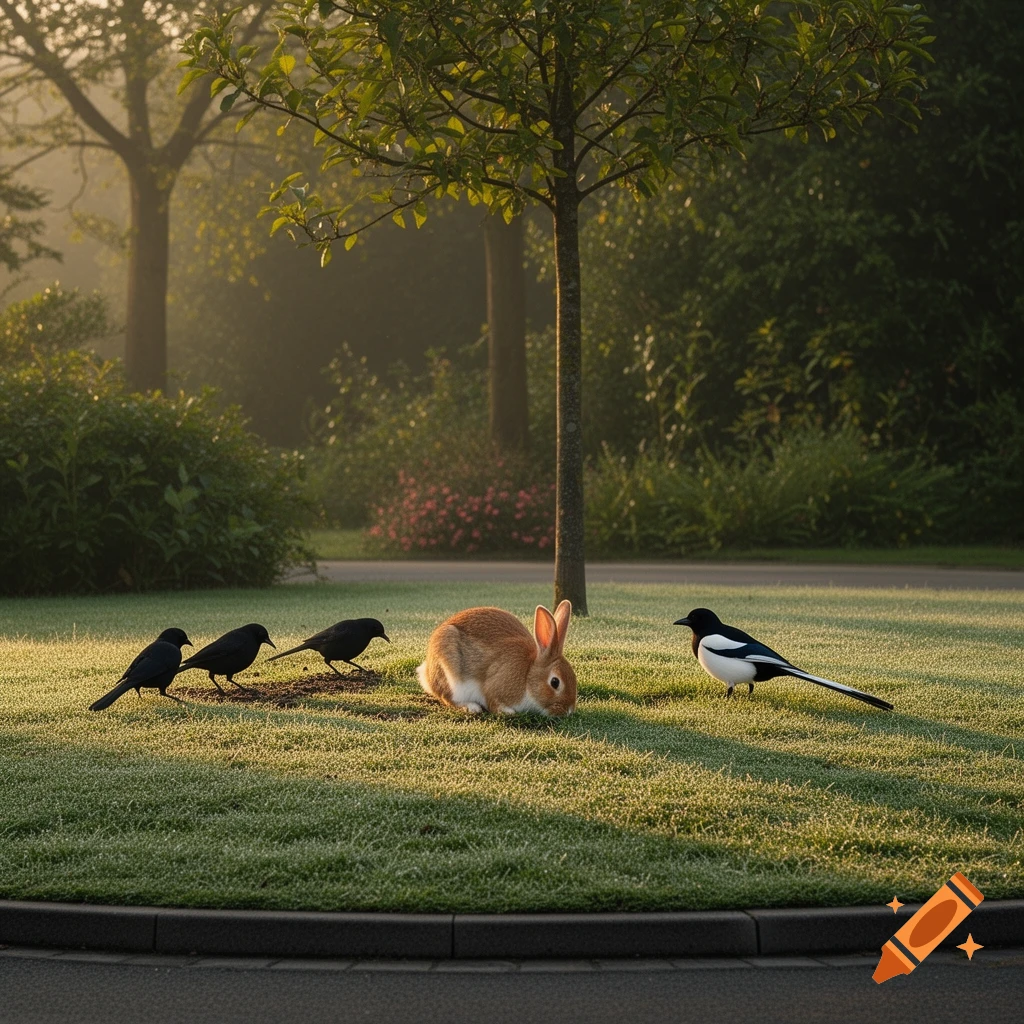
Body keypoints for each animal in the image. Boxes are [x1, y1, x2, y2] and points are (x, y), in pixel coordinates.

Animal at [417, 601, 577, 716]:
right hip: (451, 675)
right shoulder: (494, 688)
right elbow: (493, 702)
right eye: (555, 682)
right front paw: (508, 712)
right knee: (447, 697)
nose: (568, 710)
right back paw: (472, 707)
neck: (527, 674)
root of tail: (427, 673)